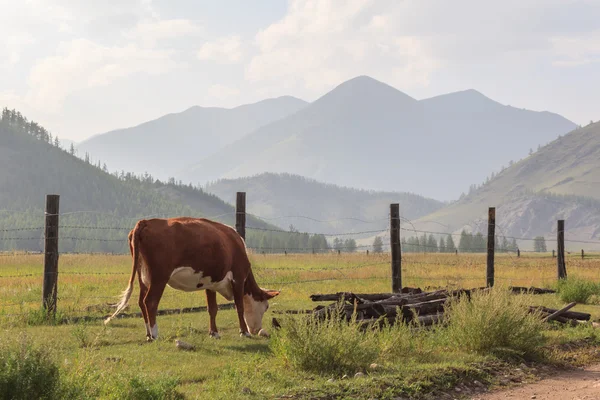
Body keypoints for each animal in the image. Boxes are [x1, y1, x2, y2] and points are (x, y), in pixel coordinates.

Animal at [104, 217, 280, 342]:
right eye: (266, 307)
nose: (256, 331)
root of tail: (146, 222)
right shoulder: (238, 277)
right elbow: (239, 307)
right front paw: (244, 332)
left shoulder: (210, 282)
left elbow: (212, 308)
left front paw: (214, 333)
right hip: (158, 277)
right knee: (150, 302)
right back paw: (154, 334)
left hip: (143, 277)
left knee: (141, 302)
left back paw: (148, 333)